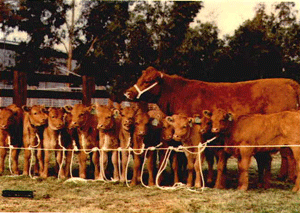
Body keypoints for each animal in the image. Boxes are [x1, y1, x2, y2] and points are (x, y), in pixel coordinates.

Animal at [124, 66, 300, 186]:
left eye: (147, 81)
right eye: (140, 77)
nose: (128, 92)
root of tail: (288, 82)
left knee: (288, 154)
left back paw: (289, 178)